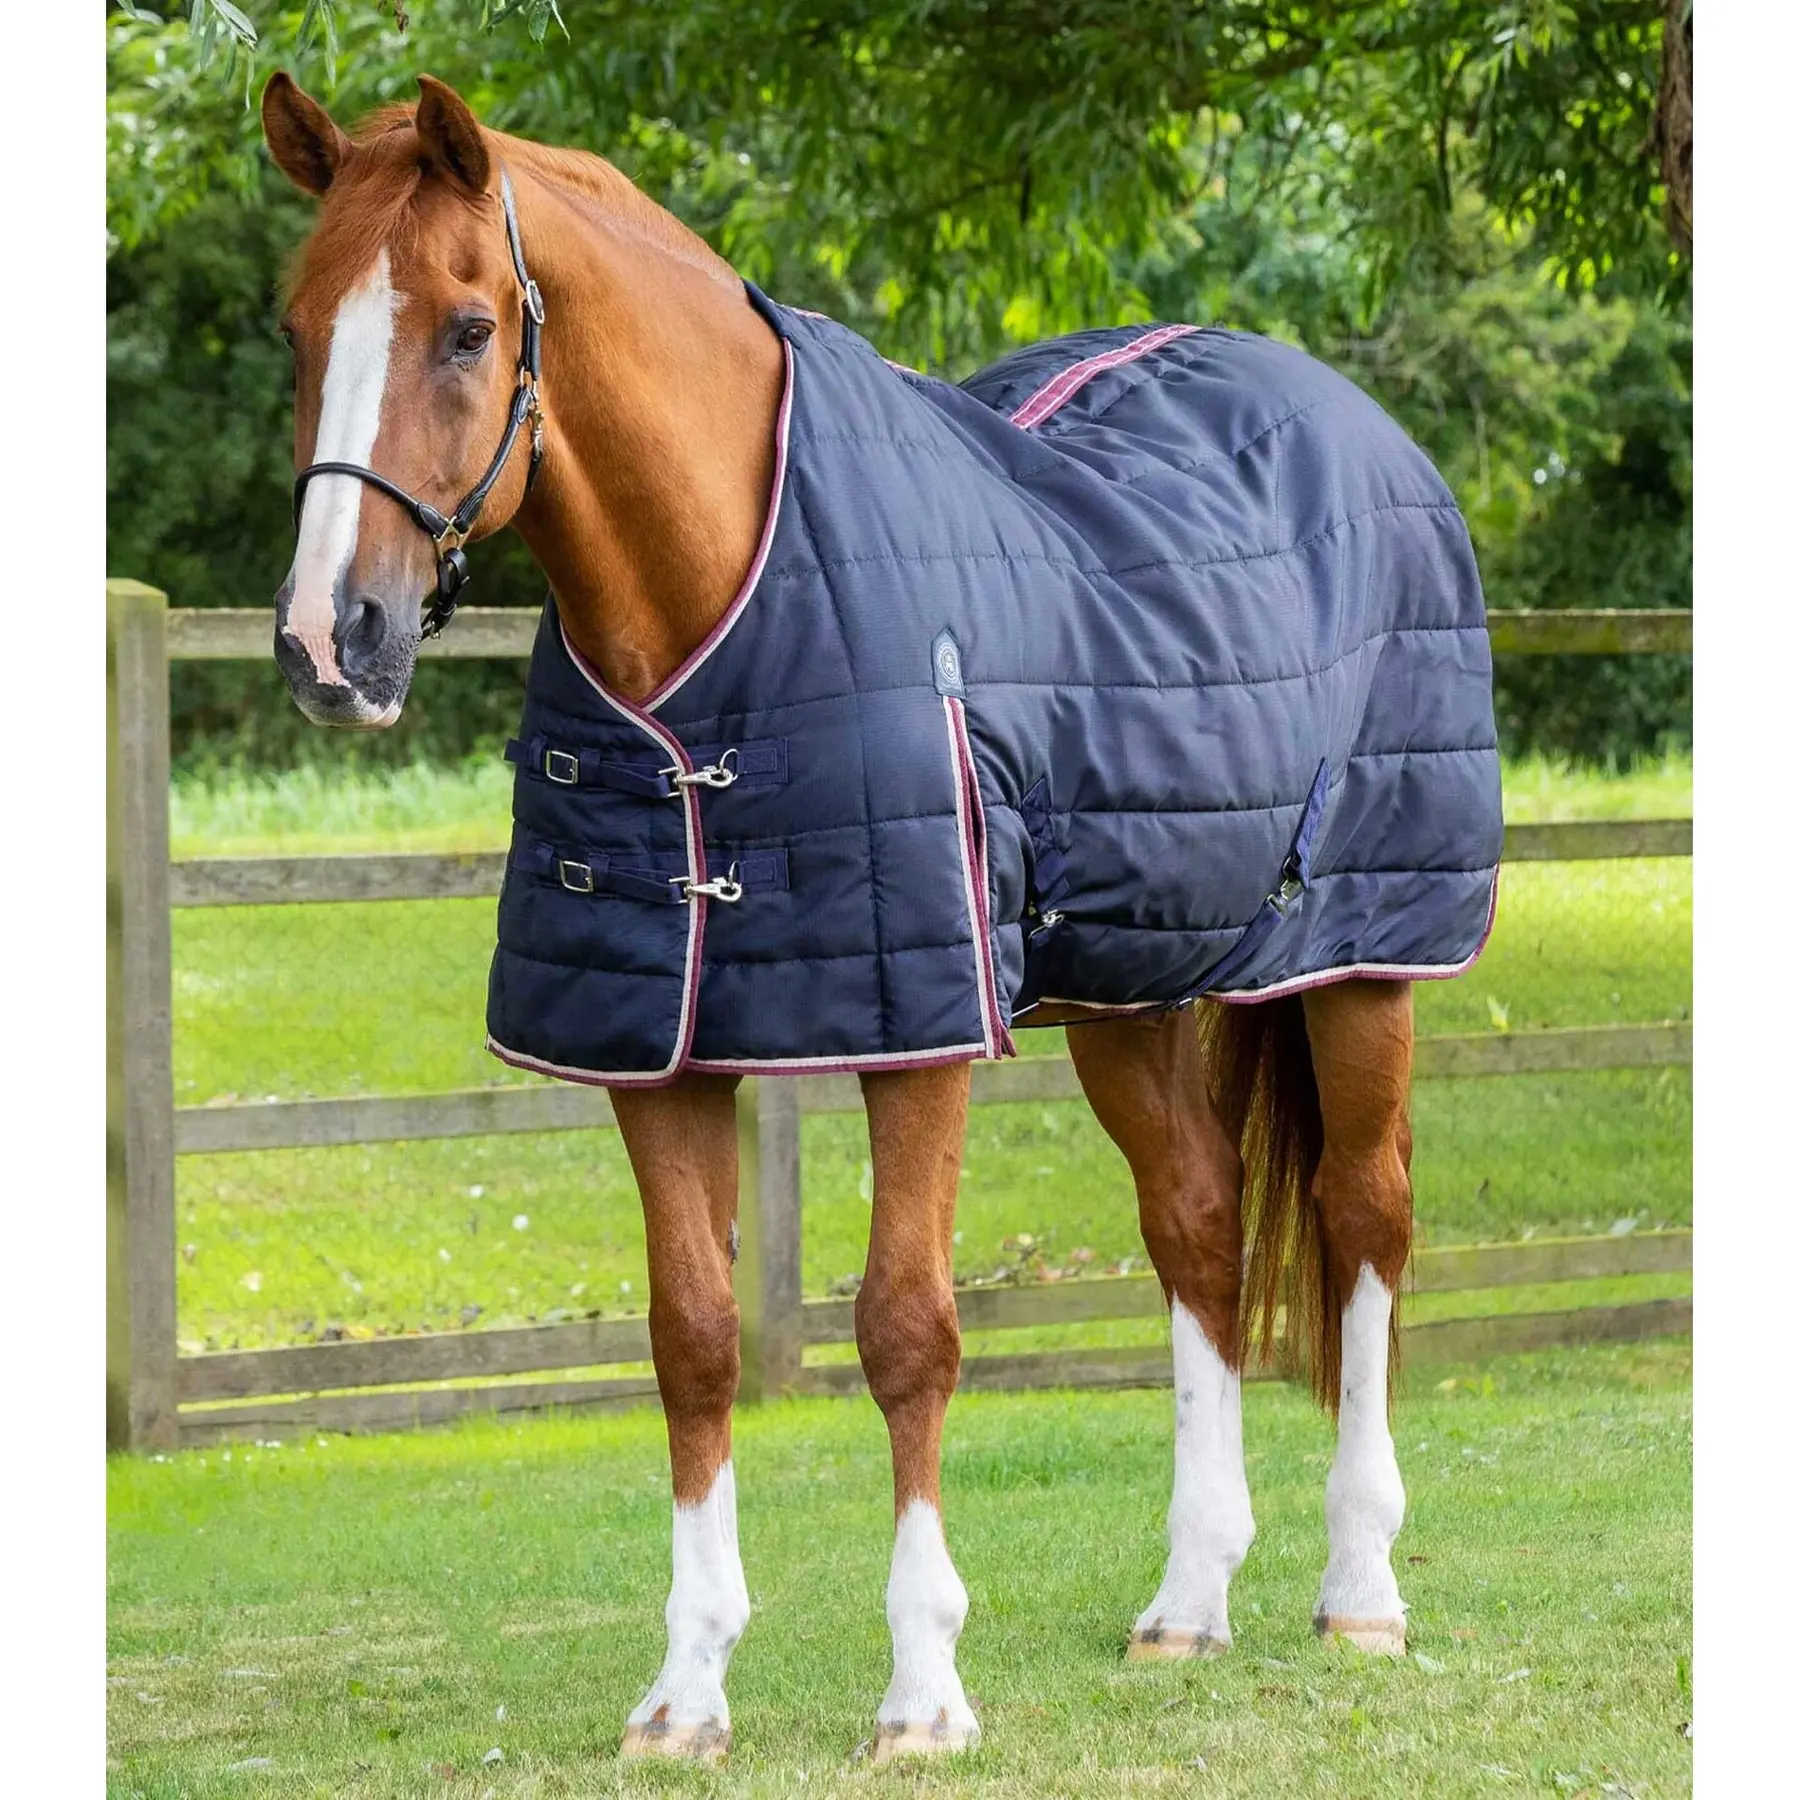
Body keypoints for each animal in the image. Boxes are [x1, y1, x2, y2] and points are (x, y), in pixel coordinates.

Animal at [259, 71, 1500, 1763]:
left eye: (463, 327)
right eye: (297, 329)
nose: (335, 641)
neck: (718, 627)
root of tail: (1358, 426)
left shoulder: (919, 1035)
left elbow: (907, 1330)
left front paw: (922, 1690)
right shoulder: (663, 1053)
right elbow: (694, 1338)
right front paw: (687, 1694)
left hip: (1366, 959)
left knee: (1367, 1217)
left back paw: (1361, 1591)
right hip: (1123, 992)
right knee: (1194, 1223)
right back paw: (1189, 1601)